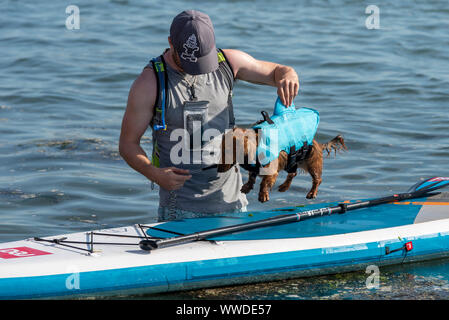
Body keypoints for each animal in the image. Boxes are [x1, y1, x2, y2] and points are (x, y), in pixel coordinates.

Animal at [217, 128, 346, 201]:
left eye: (227, 151)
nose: (218, 169)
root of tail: (319, 144)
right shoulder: (254, 170)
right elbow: (251, 177)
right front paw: (247, 187)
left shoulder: (271, 171)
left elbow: (264, 182)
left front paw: (263, 196)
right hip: (291, 163)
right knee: (293, 174)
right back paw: (284, 186)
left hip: (312, 165)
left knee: (317, 180)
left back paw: (312, 193)